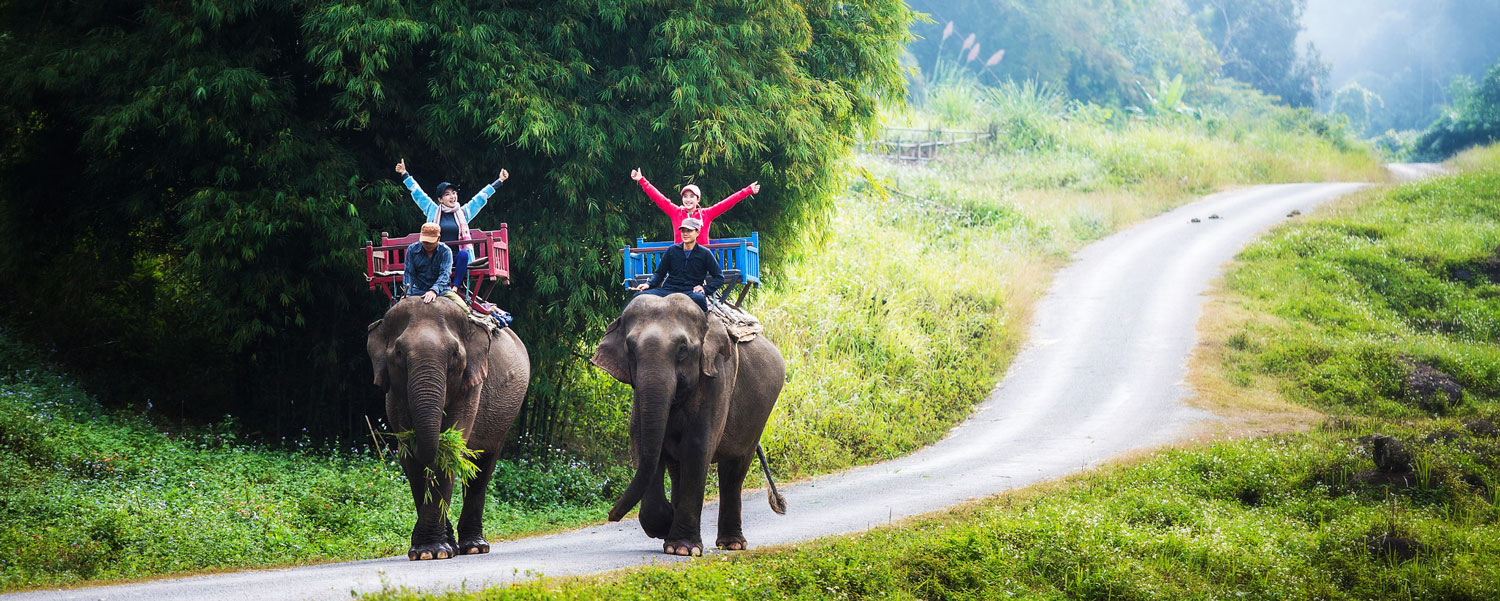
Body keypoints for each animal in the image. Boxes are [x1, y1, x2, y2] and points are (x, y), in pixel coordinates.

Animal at [366, 296, 531, 560]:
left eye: (454, 354)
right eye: (399, 353)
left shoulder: (472, 384)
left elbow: (447, 451)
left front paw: (430, 552)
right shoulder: (393, 394)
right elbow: (413, 460)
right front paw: (427, 550)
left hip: (507, 414)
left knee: (482, 468)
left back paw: (474, 547)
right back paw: (454, 545)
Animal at [591, 292, 792, 554]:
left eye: (683, 349)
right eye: (630, 348)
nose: (611, 515)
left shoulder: (717, 379)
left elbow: (697, 448)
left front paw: (682, 548)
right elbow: (642, 443)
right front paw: (666, 527)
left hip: (759, 416)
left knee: (733, 471)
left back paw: (732, 544)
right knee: (679, 470)